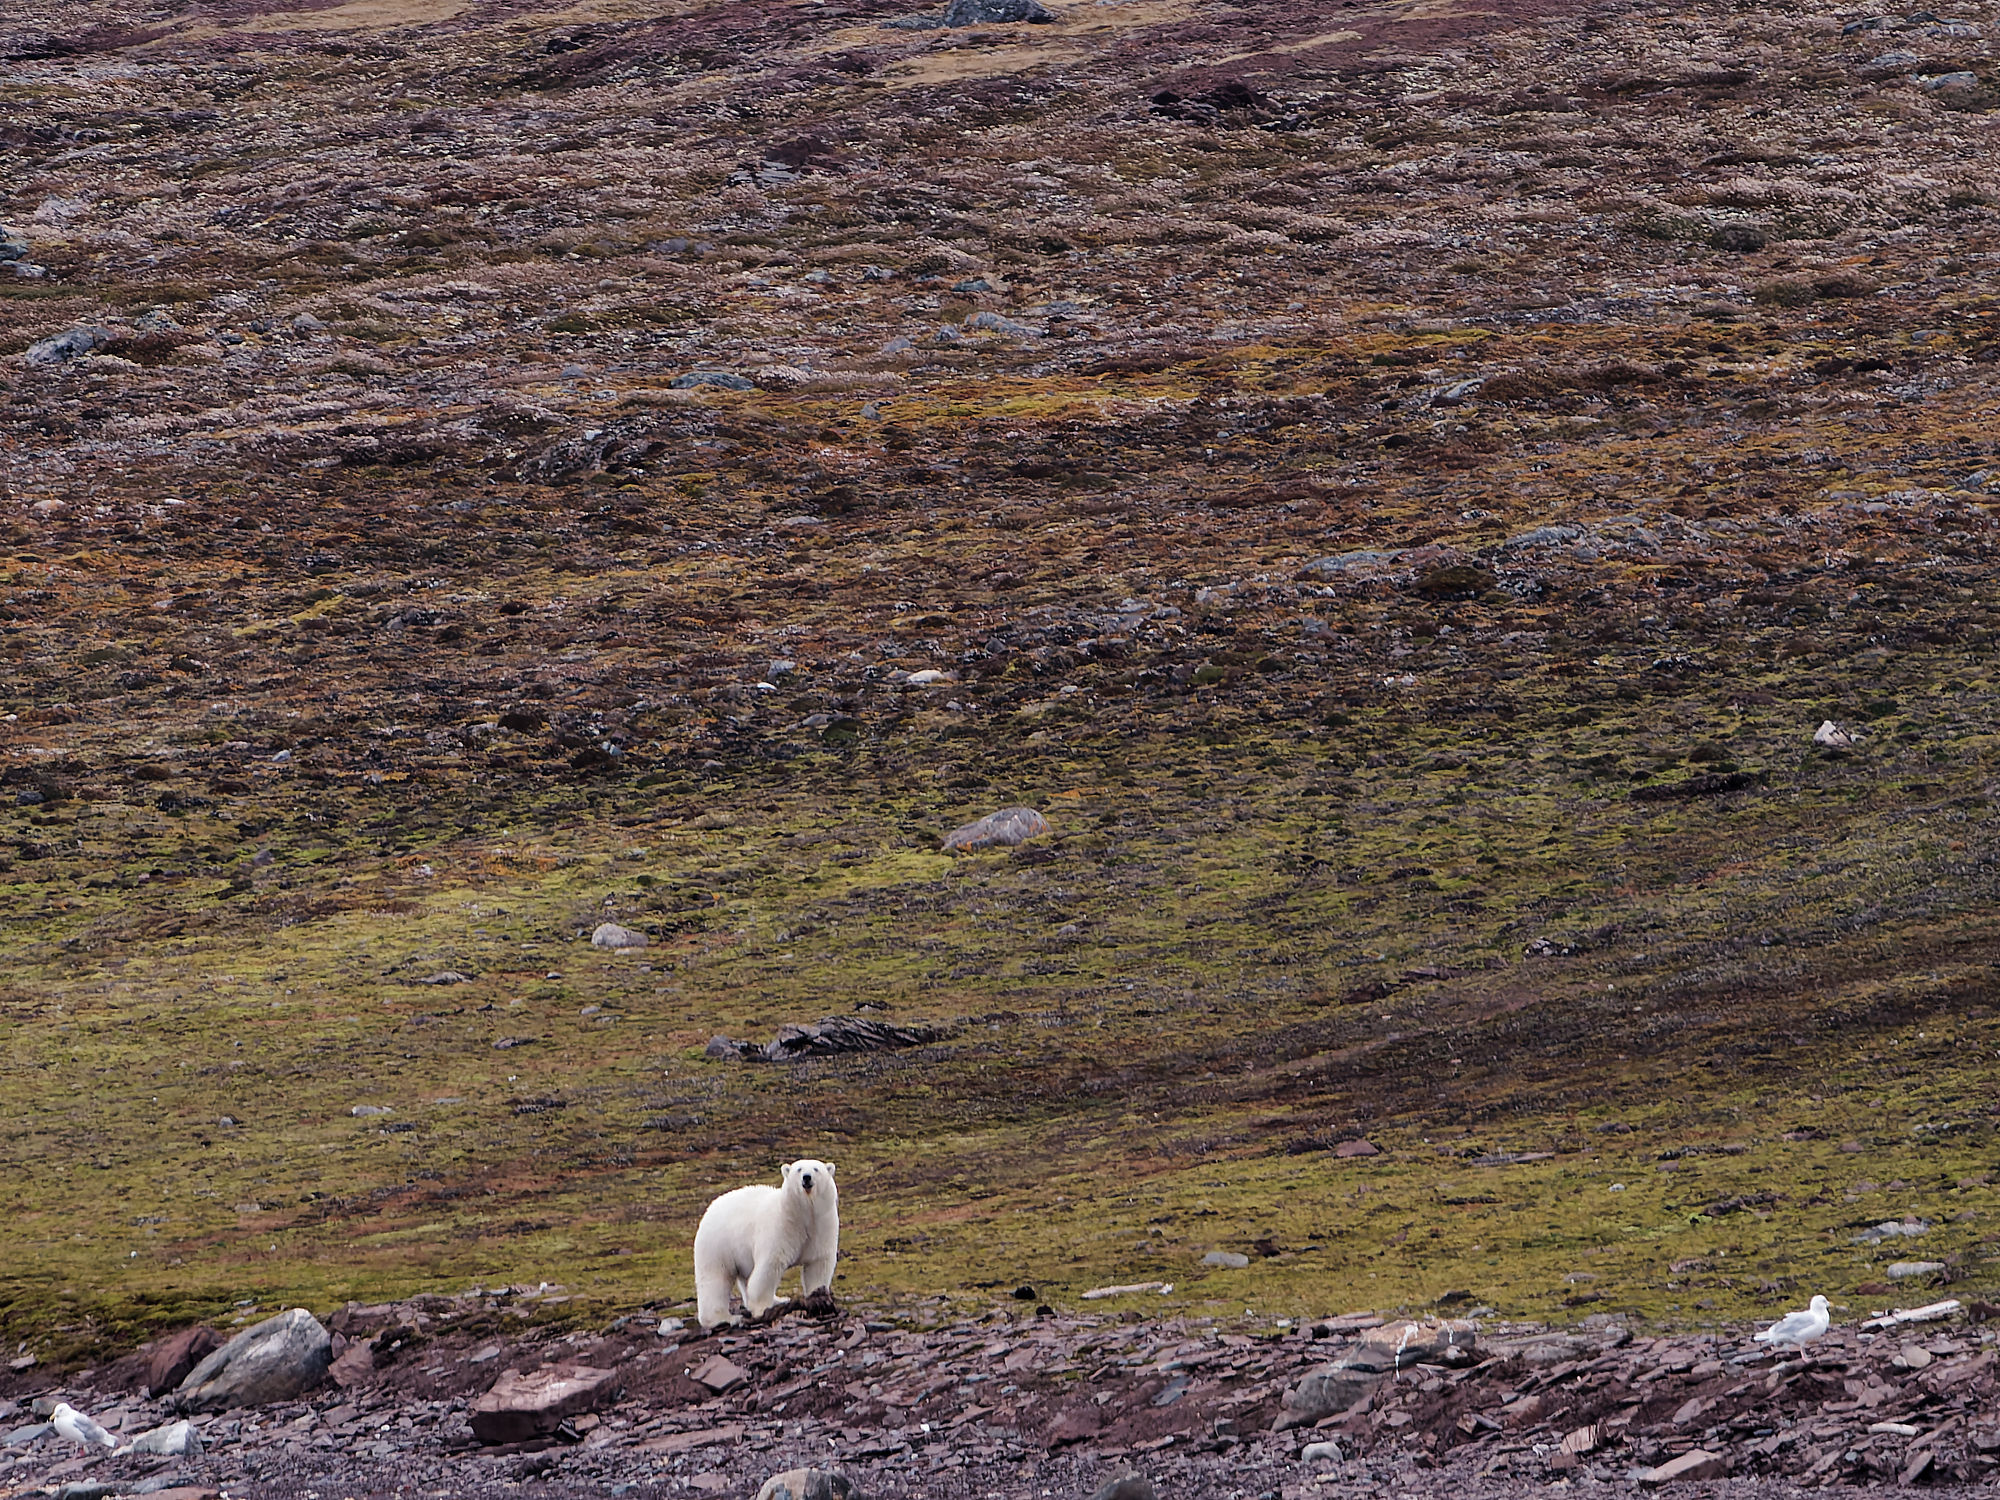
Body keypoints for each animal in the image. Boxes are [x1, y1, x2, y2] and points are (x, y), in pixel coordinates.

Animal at [694, 1158, 839, 1330]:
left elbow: (818, 1263)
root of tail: (709, 1209)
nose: (807, 1177)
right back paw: (725, 1318)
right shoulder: (781, 1226)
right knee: (715, 1280)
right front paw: (763, 1309)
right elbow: (769, 1267)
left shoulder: (822, 1225)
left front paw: (818, 1298)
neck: (802, 1214)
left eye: (816, 1169)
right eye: (799, 1169)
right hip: (718, 1244)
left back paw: (779, 1299)